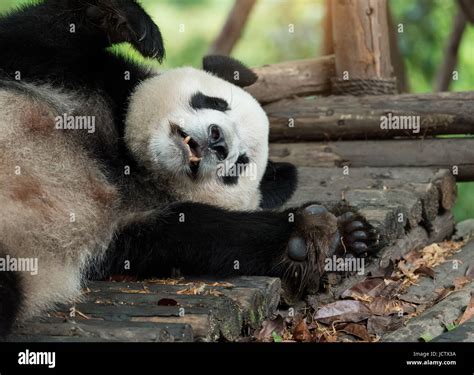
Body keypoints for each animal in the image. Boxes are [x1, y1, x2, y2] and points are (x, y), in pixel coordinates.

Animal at [0, 0, 380, 334]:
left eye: (239, 165)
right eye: (215, 102)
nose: (218, 140)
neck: (127, 162)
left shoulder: (126, 225)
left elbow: (202, 233)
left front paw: (334, 233)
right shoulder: (83, 80)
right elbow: (25, 39)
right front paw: (125, 22)